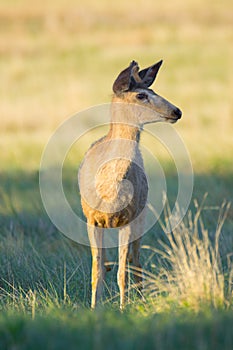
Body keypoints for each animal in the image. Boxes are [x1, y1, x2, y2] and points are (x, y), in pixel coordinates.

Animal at [78, 60, 182, 308]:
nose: (177, 111)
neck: (108, 187)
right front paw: (95, 307)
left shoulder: (129, 218)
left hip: (141, 217)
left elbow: (122, 272)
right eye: (141, 95)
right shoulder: (91, 219)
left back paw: (141, 299)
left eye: (154, 90)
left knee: (136, 261)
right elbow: (96, 270)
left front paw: (123, 308)